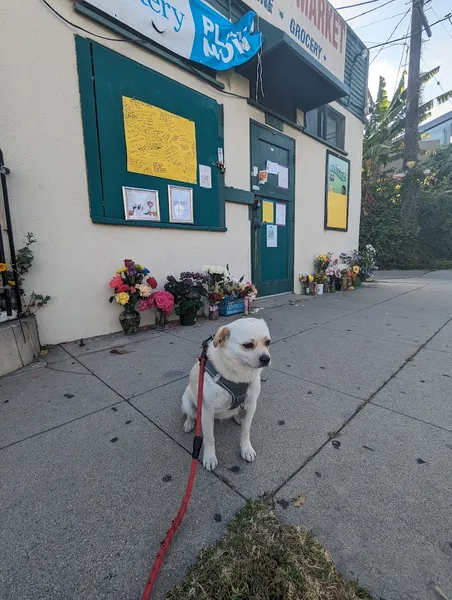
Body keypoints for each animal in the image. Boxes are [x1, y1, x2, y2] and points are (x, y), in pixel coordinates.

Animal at [181, 316, 272, 472]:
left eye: (268, 342)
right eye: (248, 345)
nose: (266, 359)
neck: (238, 375)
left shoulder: (251, 405)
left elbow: (245, 430)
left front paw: (246, 449)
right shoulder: (207, 412)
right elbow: (209, 439)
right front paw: (210, 457)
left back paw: (237, 417)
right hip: (187, 403)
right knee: (190, 414)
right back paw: (189, 423)